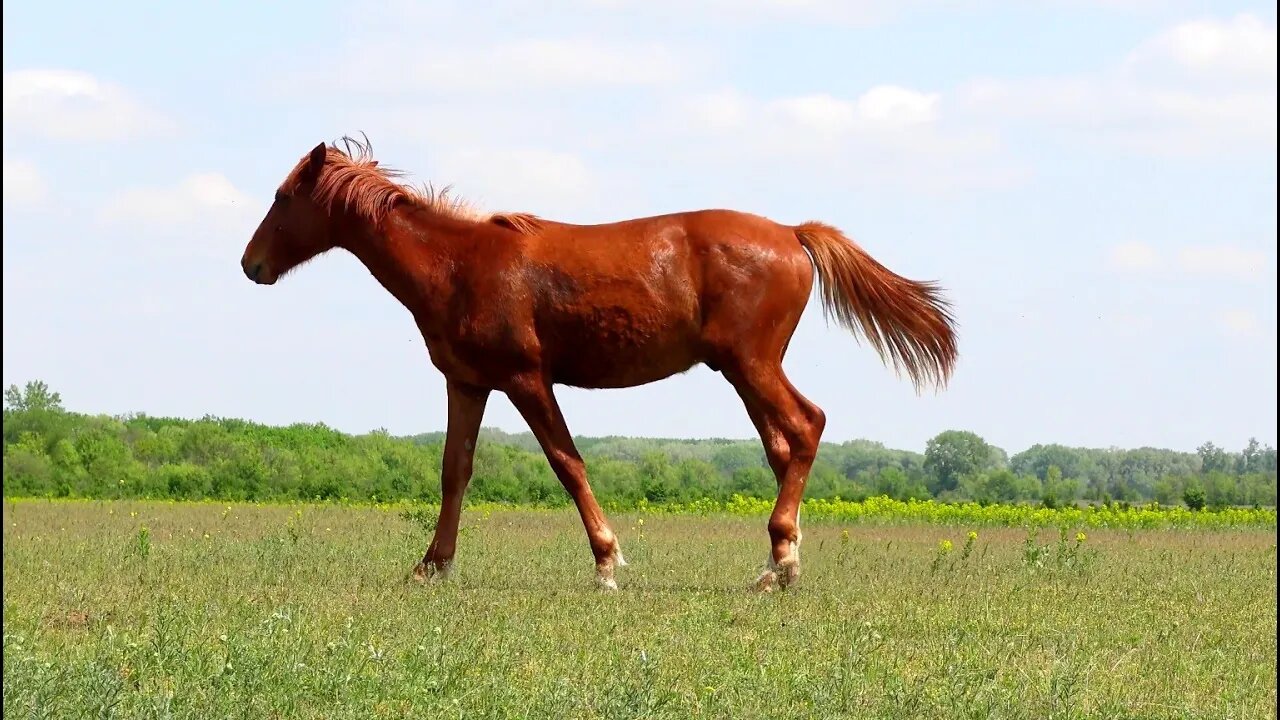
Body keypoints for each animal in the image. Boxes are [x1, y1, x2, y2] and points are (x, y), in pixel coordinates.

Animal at [241, 134, 962, 589]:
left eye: (282, 198)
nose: (251, 264)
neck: (457, 264)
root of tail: (791, 233)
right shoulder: (468, 383)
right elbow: (455, 471)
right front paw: (430, 566)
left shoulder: (527, 379)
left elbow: (568, 464)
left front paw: (607, 563)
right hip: (743, 371)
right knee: (784, 446)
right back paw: (777, 561)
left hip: (751, 363)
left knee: (807, 425)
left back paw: (779, 566)